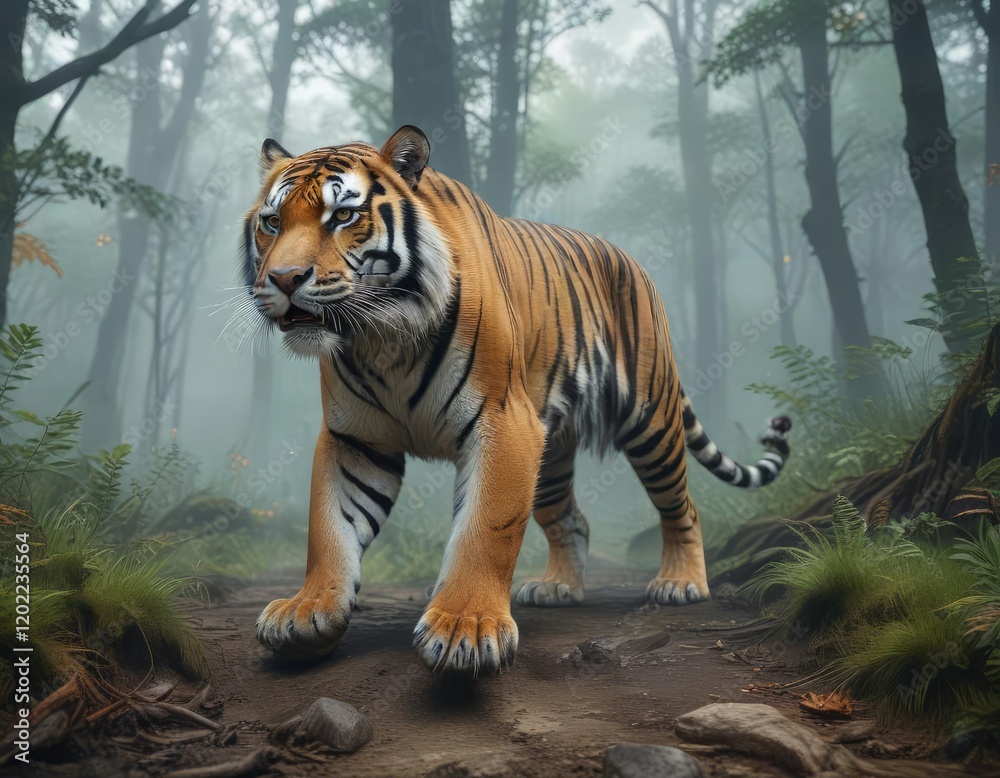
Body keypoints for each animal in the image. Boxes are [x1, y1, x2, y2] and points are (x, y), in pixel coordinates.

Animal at [245, 125, 791, 677]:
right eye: (272, 222)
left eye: (343, 216)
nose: (284, 279)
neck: (383, 336)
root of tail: (633, 262)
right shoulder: (353, 438)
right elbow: (330, 529)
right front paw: (307, 611)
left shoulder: (503, 422)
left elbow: (486, 529)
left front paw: (465, 627)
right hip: (551, 451)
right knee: (572, 519)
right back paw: (559, 587)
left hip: (650, 422)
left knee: (682, 505)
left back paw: (681, 583)